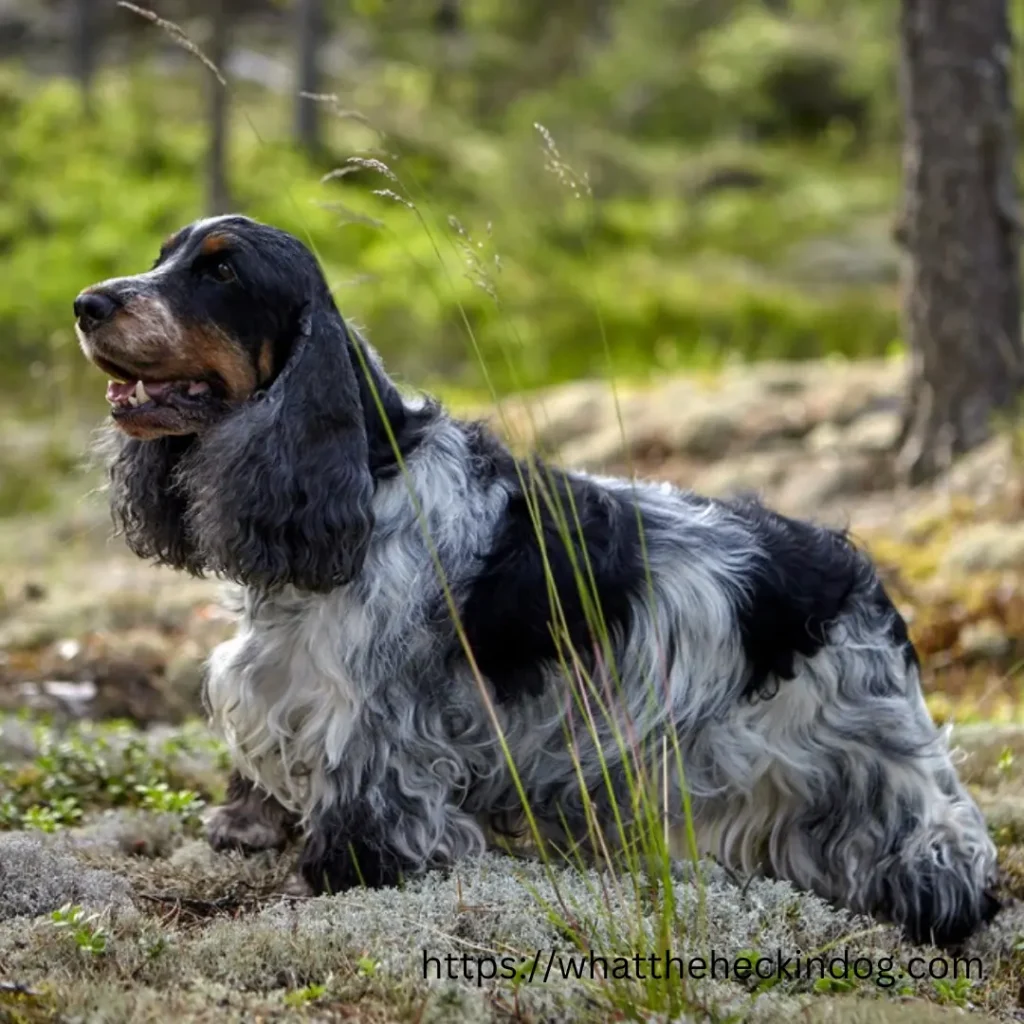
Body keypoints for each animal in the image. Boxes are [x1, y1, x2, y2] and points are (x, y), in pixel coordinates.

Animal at [77, 214, 999, 942]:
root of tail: (857, 570)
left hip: (868, 742)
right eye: (164, 255)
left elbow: (370, 800)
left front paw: (340, 873)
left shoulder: (375, 713)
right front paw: (245, 829)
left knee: (950, 836)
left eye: (221, 272)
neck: (368, 474)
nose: (87, 304)